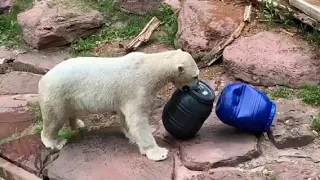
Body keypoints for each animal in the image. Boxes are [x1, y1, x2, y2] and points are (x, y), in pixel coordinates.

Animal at [38, 48, 200, 161]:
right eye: (195, 76)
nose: (198, 87)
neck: (150, 67)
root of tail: (43, 79)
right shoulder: (138, 88)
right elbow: (137, 120)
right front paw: (158, 153)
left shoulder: (125, 97)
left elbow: (125, 117)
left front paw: (131, 136)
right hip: (57, 95)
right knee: (54, 119)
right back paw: (56, 142)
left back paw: (78, 124)